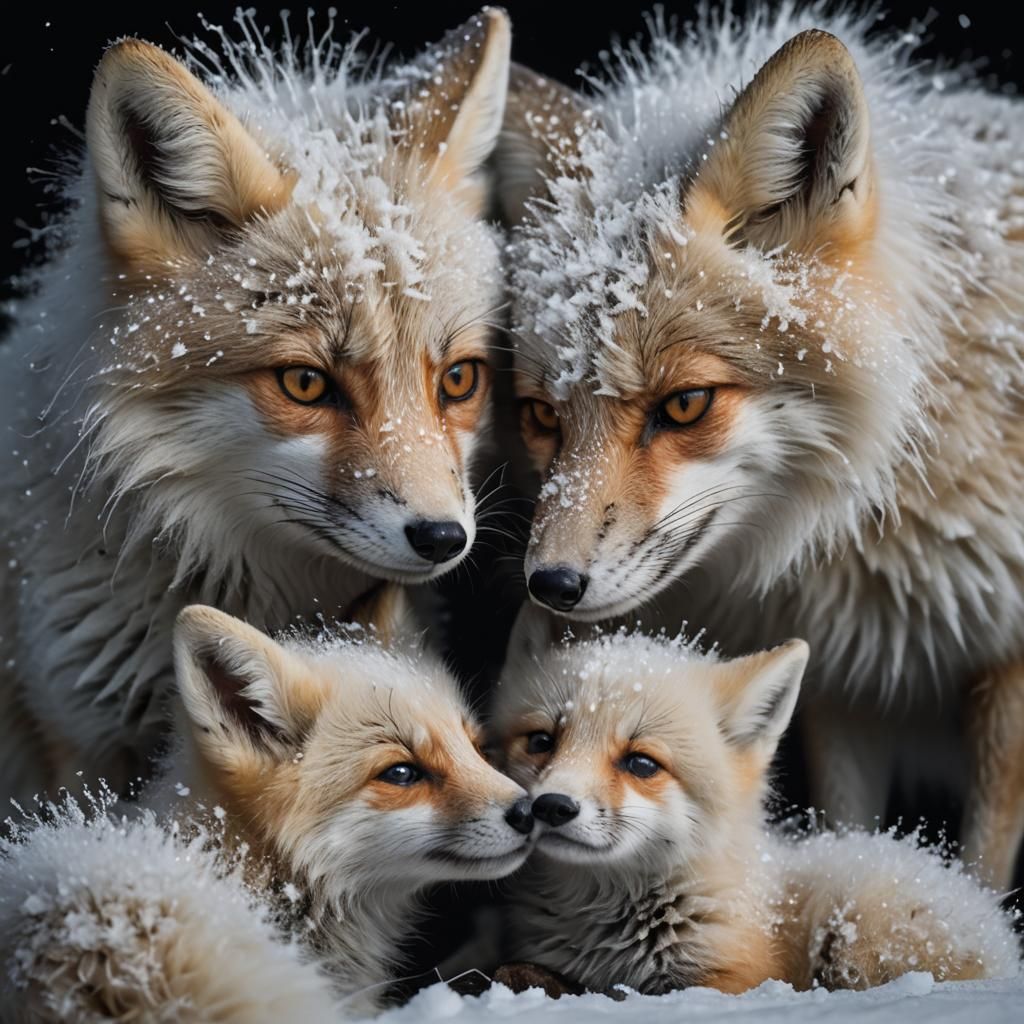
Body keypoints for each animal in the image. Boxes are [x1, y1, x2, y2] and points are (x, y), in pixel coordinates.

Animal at [494, 4, 1024, 887]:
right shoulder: (854, 677)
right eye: (542, 414)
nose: (550, 585)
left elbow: (982, 871)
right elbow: (850, 828)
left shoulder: (1003, 666)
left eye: (685, 404)